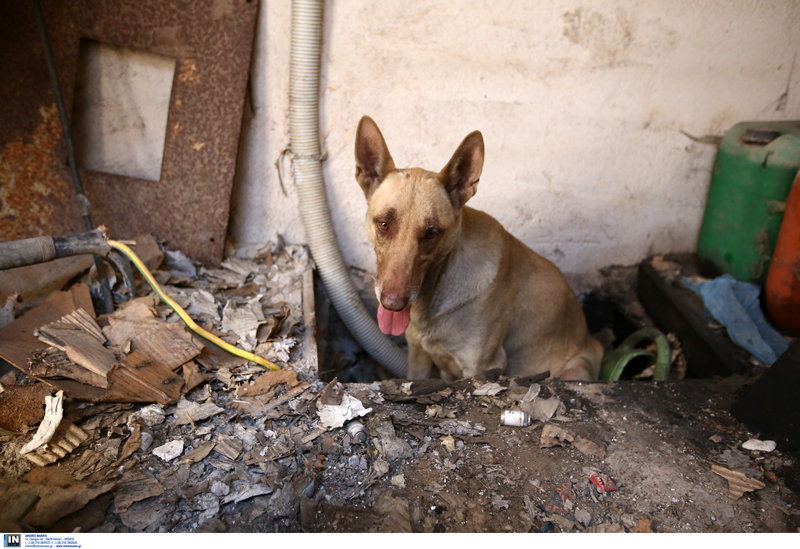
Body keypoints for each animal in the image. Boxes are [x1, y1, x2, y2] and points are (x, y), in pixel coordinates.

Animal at [354, 114, 600, 382]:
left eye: (431, 233)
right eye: (384, 224)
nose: (392, 304)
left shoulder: (482, 367)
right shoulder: (418, 357)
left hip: (577, 368)